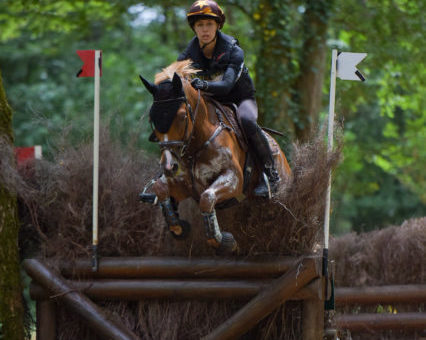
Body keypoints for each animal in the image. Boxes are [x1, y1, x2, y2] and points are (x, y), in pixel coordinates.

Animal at [139, 59, 290, 254]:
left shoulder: (234, 179)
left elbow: (207, 197)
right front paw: (179, 227)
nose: (169, 166)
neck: (196, 146)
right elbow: (161, 188)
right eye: (152, 119)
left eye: (182, 116)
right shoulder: (183, 185)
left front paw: (225, 241)